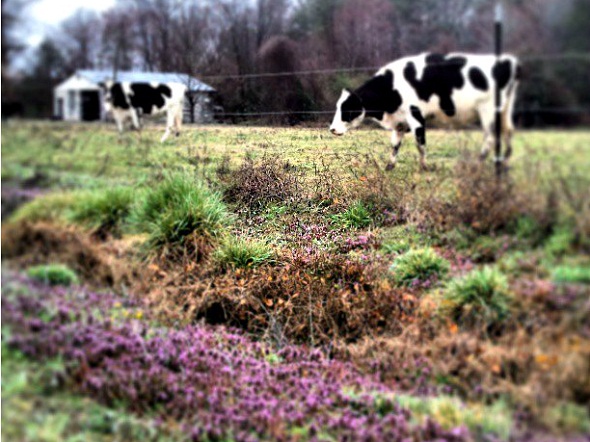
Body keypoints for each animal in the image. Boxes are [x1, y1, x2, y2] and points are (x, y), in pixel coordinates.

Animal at [332, 52, 524, 169]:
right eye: (337, 106)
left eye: (347, 107)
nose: (332, 129)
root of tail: (507, 60)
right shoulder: (399, 122)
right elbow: (395, 145)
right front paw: (389, 166)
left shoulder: (416, 115)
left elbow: (420, 143)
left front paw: (424, 167)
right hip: (505, 109)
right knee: (508, 131)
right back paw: (503, 161)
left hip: (488, 109)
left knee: (491, 137)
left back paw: (479, 162)